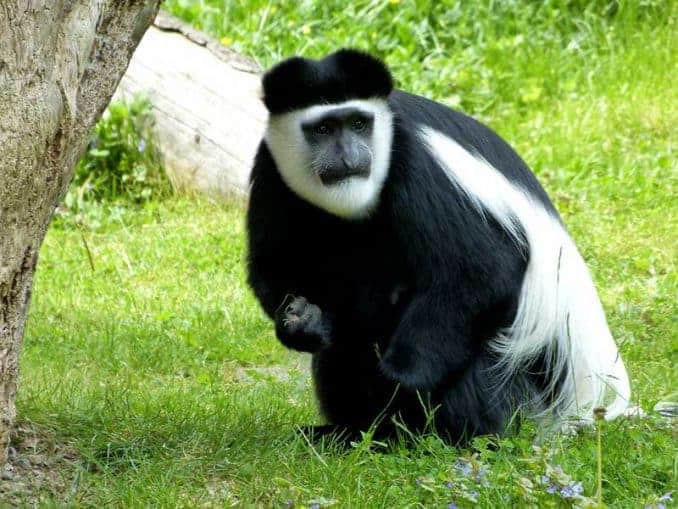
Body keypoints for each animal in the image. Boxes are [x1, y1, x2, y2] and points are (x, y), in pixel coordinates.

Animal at [247, 49, 636, 442]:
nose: (349, 156)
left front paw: (394, 382)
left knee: (481, 354)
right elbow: (272, 265)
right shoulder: (270, 167)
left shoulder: (418, 168)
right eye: (323, 129)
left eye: (358, 123)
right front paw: (303, 324)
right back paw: (350, 431)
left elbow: (480, 273)